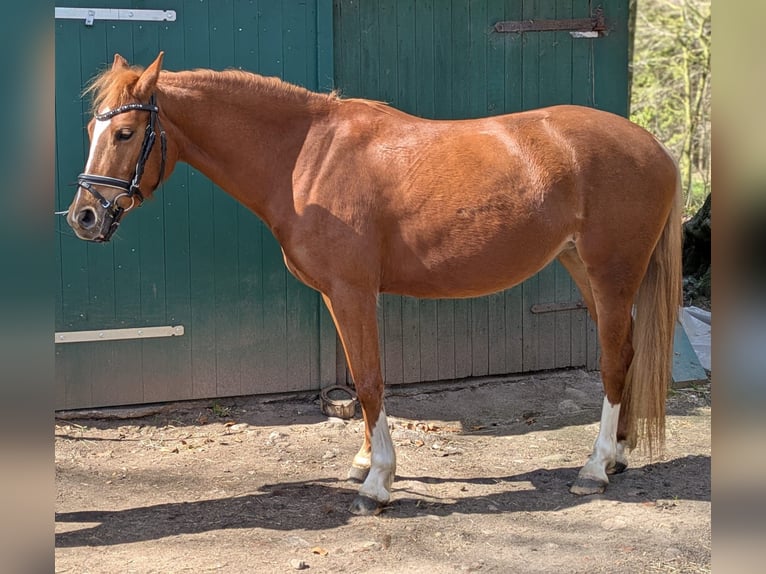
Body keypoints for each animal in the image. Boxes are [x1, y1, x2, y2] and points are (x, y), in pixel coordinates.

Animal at [65, 52, 682, 515]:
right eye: (93, 128)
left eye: (125, 132)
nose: (83, 218)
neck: (305, 157)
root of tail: (654, 147)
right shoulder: (338, 297)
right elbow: (360, 380)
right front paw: (364, 462)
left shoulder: (352, 293)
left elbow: (368, 381)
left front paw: (378, 482)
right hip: (583, 269)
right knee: (626, 351)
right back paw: (618, 455)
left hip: (611, 272)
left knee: (613, 360)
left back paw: (595, 469)